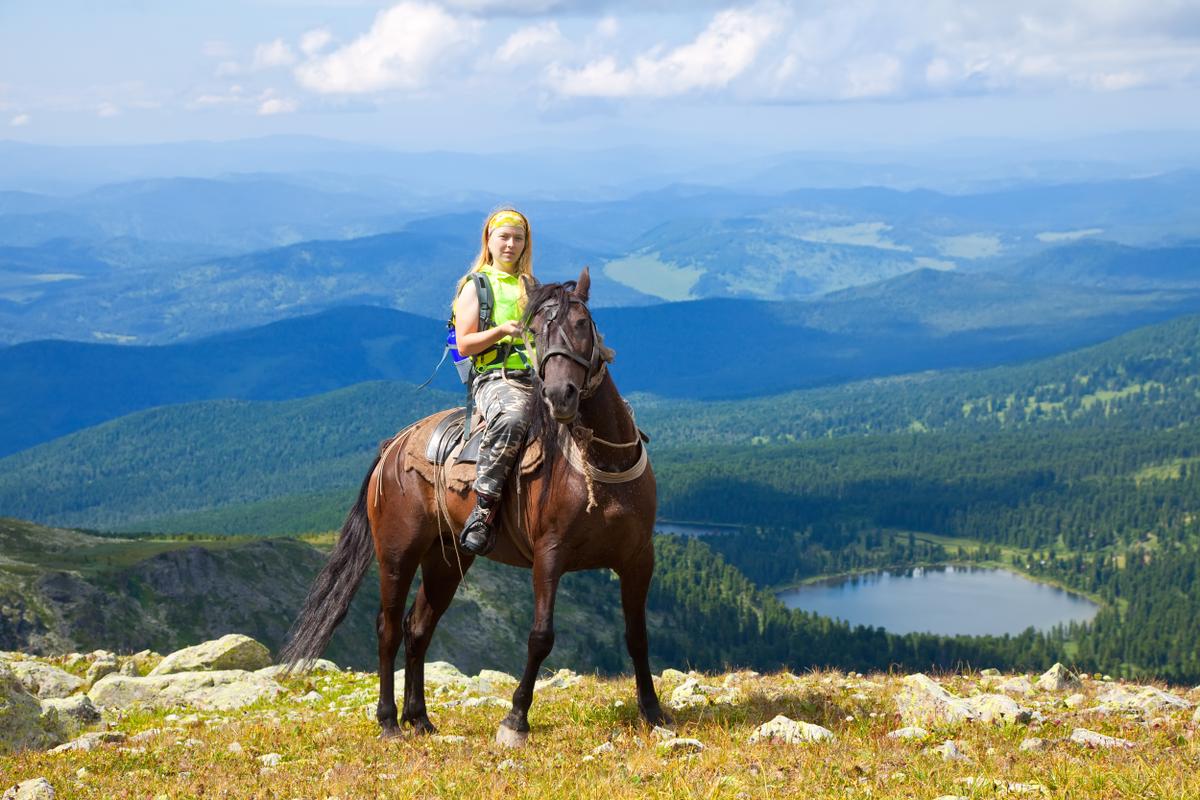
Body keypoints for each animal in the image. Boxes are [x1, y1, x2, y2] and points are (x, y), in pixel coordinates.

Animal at [285, 267, 672, 743]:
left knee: (418, 628)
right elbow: (540, 636)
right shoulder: (550, 556)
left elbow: (638, 636)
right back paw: (389, 720)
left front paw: (653, 712)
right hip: (397, 553)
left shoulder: (638, 559)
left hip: (446, 560)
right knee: (389, 628)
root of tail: (394, 444)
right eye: (534, 333)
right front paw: (515, 720)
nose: (559, 395)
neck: (598, 460)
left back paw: (420, 718)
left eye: (583, 324)